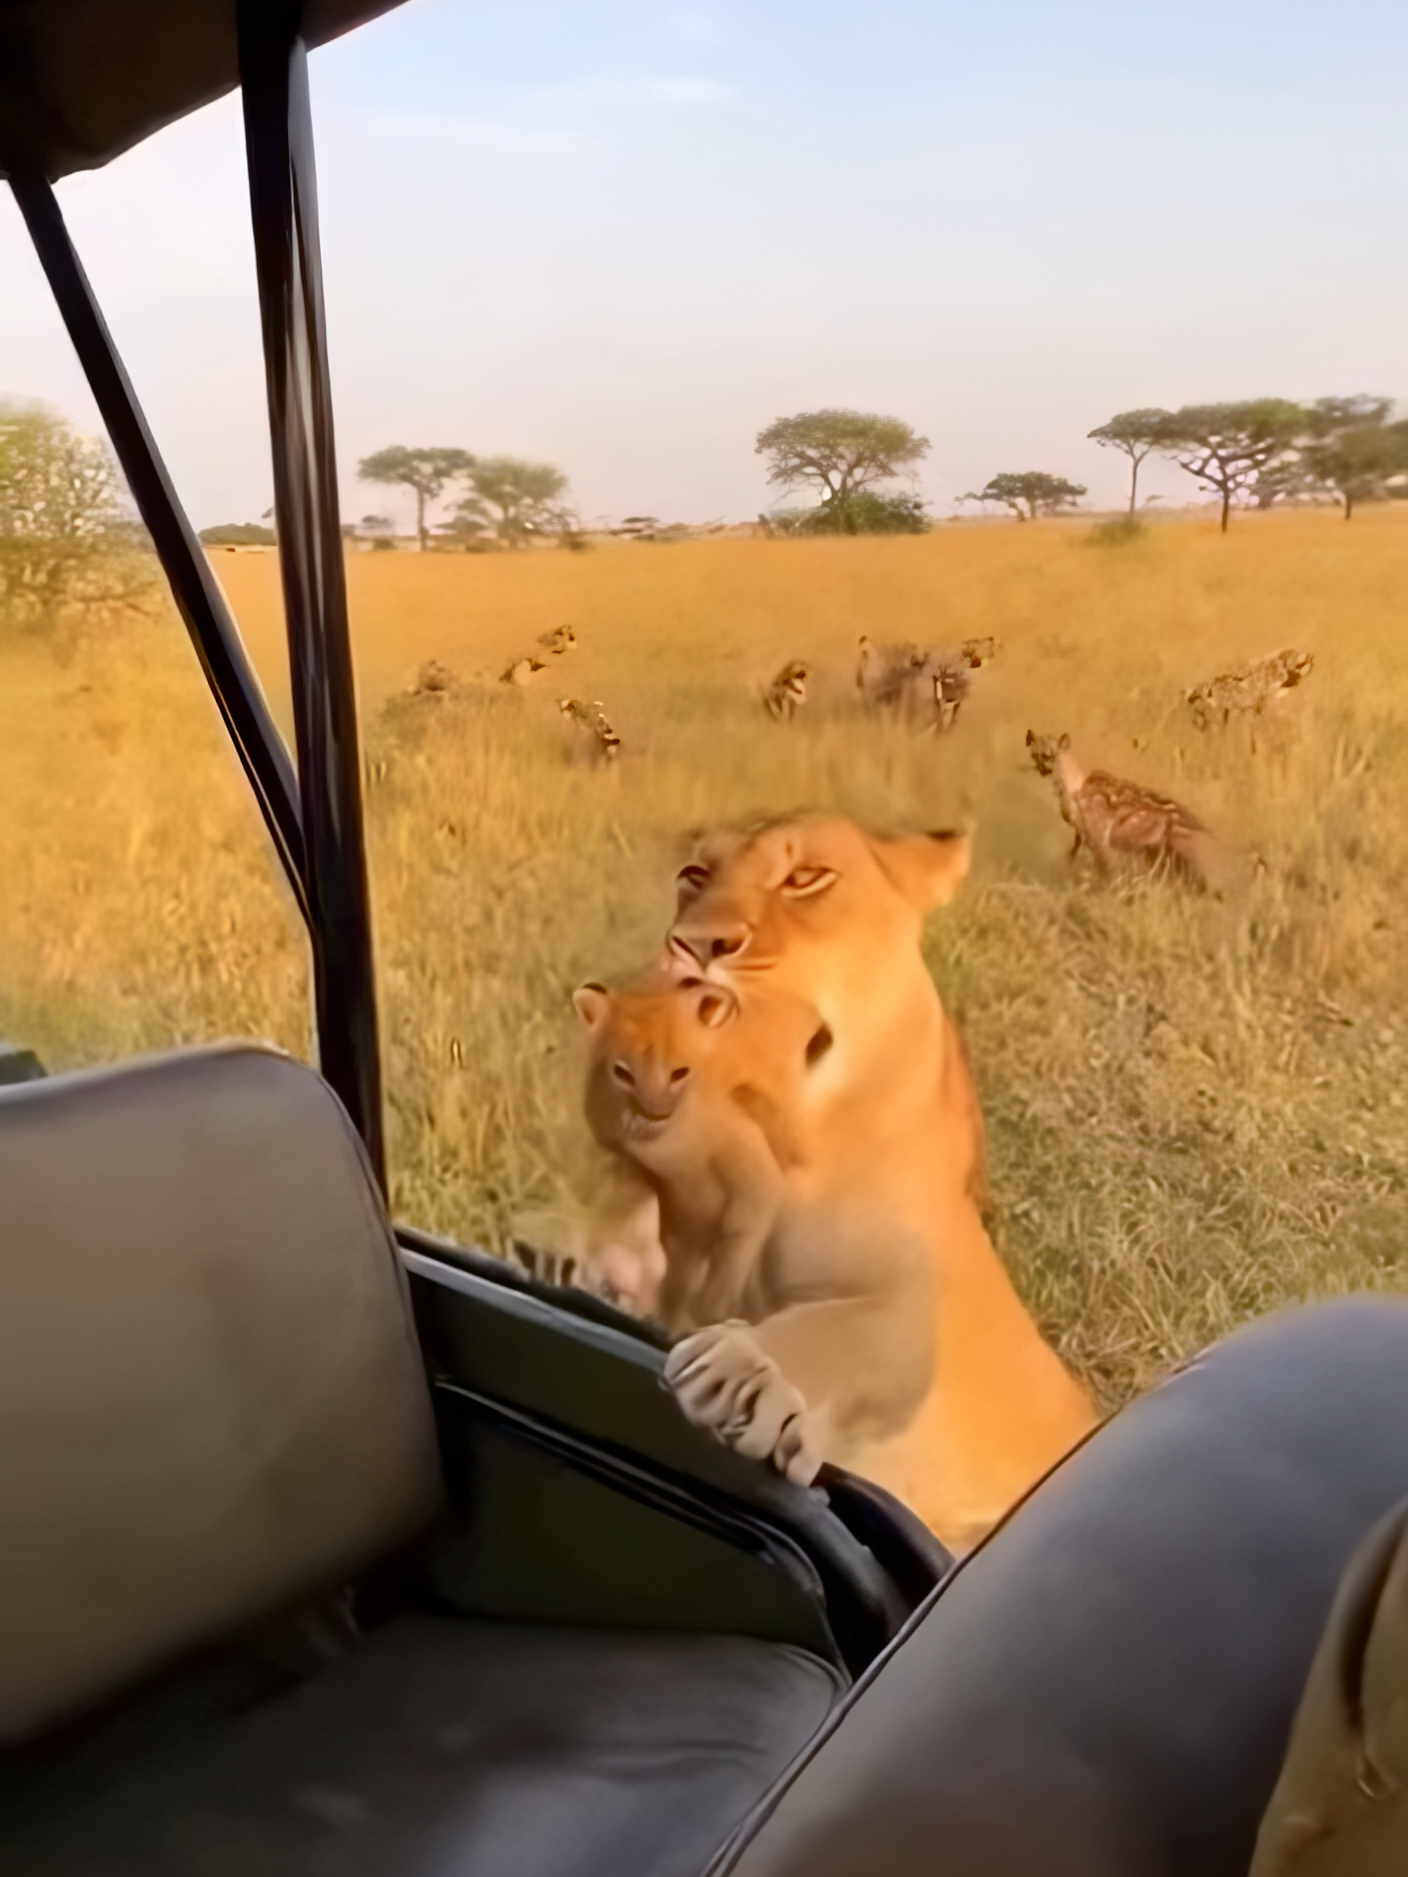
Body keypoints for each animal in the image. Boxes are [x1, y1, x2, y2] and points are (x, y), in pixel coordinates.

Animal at [662, 814, 1098, 1551]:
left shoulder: (914, 1300)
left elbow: (851, 1324)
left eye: (805, 877)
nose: (694, 943)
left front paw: (742, 1374)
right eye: (695, 876)